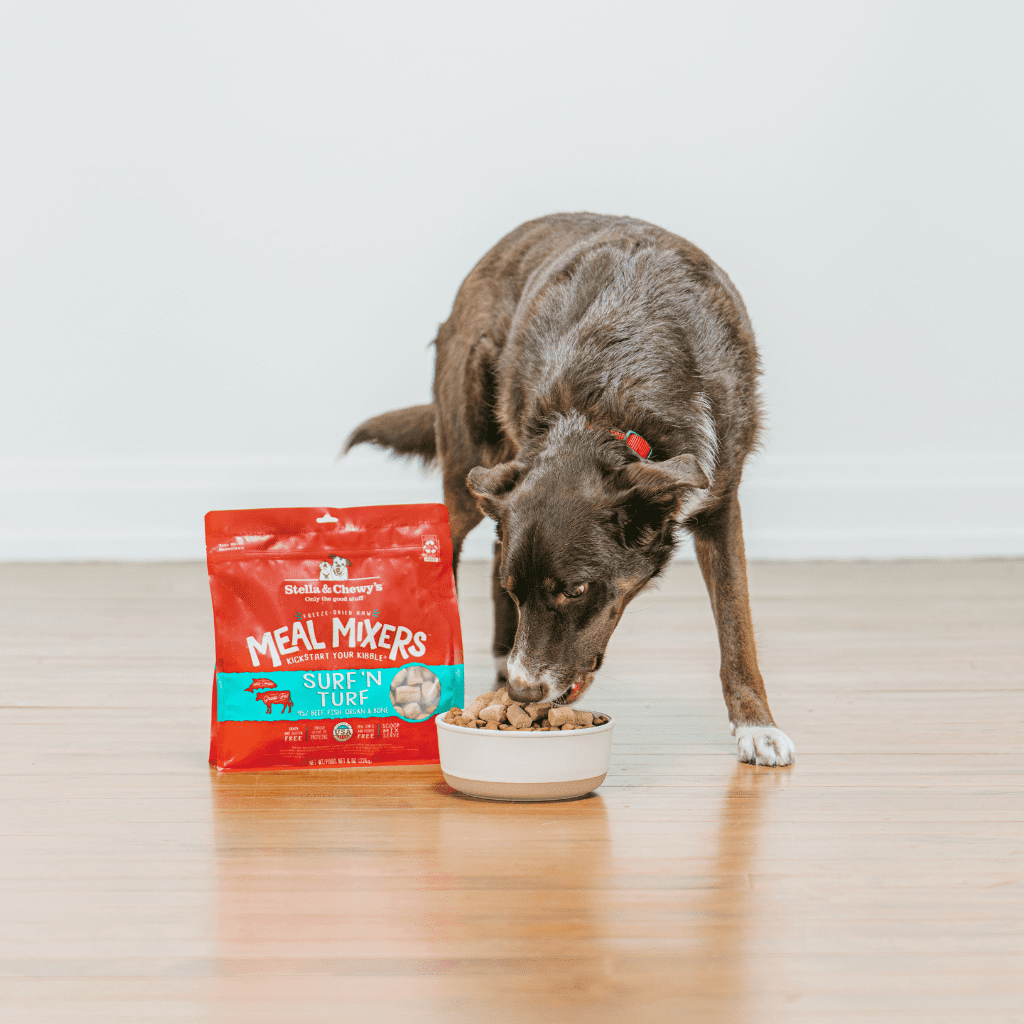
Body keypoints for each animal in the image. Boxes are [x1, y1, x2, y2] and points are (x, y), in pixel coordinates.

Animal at [348, 211, 794, 765]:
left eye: (576, 591)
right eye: (517, 592)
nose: (522, 692)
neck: (613, 405)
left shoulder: (720, 503)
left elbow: (736, 626)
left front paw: (756, 724)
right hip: (469, 470)